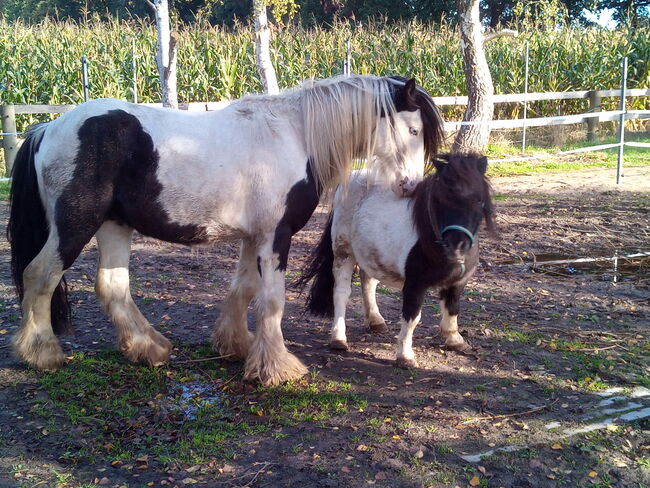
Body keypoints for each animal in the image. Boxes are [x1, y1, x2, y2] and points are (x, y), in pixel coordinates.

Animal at [6, 74, 440, 386]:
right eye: (414, 130)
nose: (411, 186)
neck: (296, 134)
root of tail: (49, 127)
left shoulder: (254, 237)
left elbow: (244, 290)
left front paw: (237, 347)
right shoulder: (275, 237)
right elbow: (272, 301)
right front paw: (276, 368)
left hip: (115, 225)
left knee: (111, 286)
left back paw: (149, 349)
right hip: (75, 225)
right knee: (39, 275)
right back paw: (43, 353)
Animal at [296, 154, 494, 368]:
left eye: (479, 200)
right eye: (441, 199)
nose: (456, 246)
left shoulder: (457, 283)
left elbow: (452, 308)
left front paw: (455, 340)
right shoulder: (415, 284)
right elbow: (412, 317)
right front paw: (405, 356)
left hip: (369, 253)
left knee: (368, 282)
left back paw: (376, 321)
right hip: (344, 252)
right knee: (341, 293)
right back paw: (339, 339)